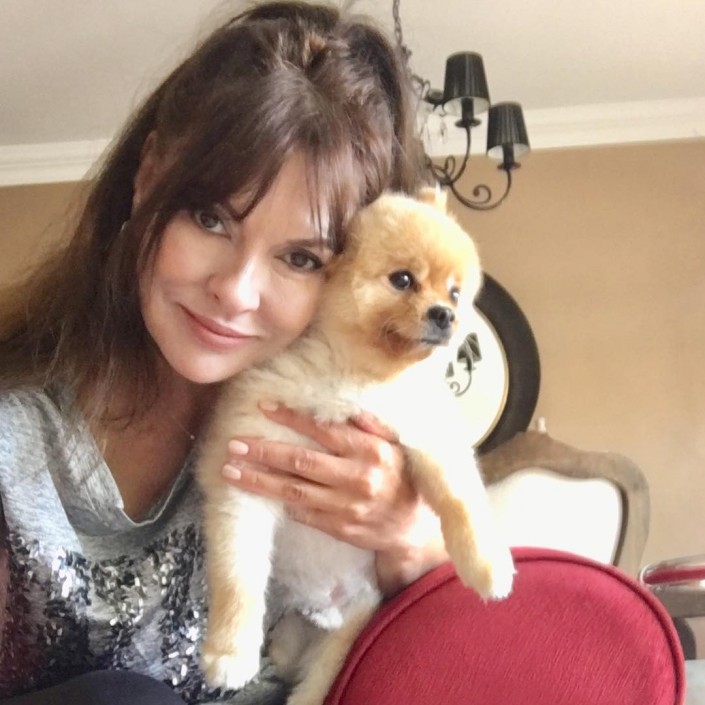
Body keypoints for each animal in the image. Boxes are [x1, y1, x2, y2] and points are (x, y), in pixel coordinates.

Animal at [197, 188, 515, 704]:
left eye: (454, 293)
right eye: (403, 280)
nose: (446, 315)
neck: (354, 375)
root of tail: (322, 607)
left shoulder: (424, 434)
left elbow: (459, 500)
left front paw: (487, 565)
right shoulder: (244, 470)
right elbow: (237, 575)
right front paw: (229, 654)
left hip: (341, 637)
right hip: (295, 636)